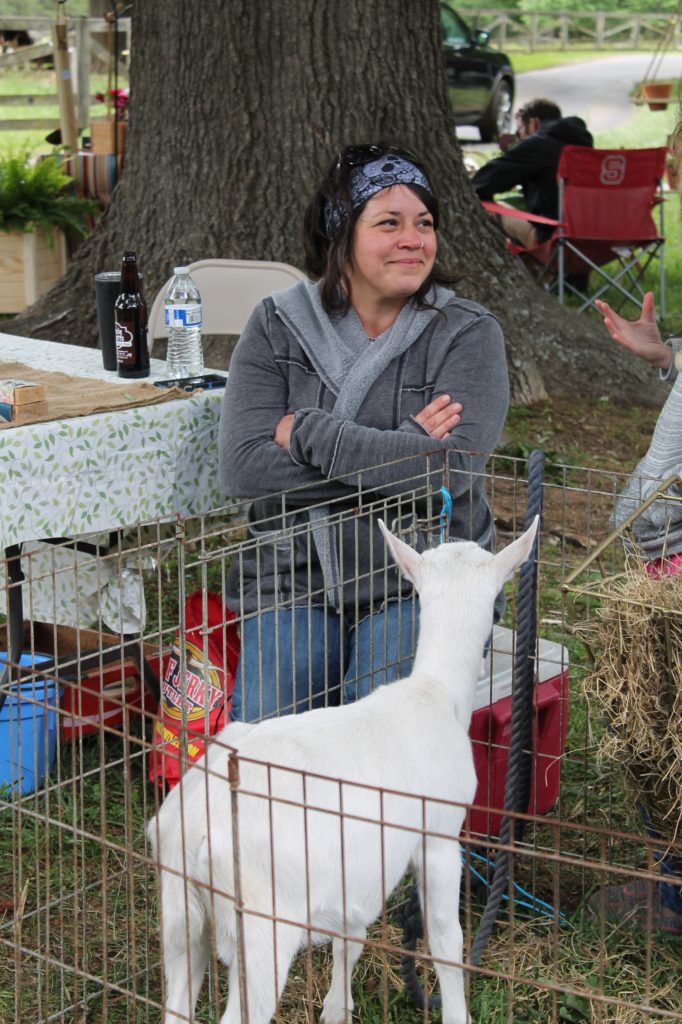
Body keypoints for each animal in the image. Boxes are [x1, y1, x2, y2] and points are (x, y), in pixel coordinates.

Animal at [147, 520, 536, 1024]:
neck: (435, 693)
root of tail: (195, 825)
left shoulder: (357, 870)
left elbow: (350, 938)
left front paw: (336, 1008)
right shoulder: (439, 835)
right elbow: (446, 940)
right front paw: (457, 1012)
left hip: (180, 914)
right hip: (261, 922)